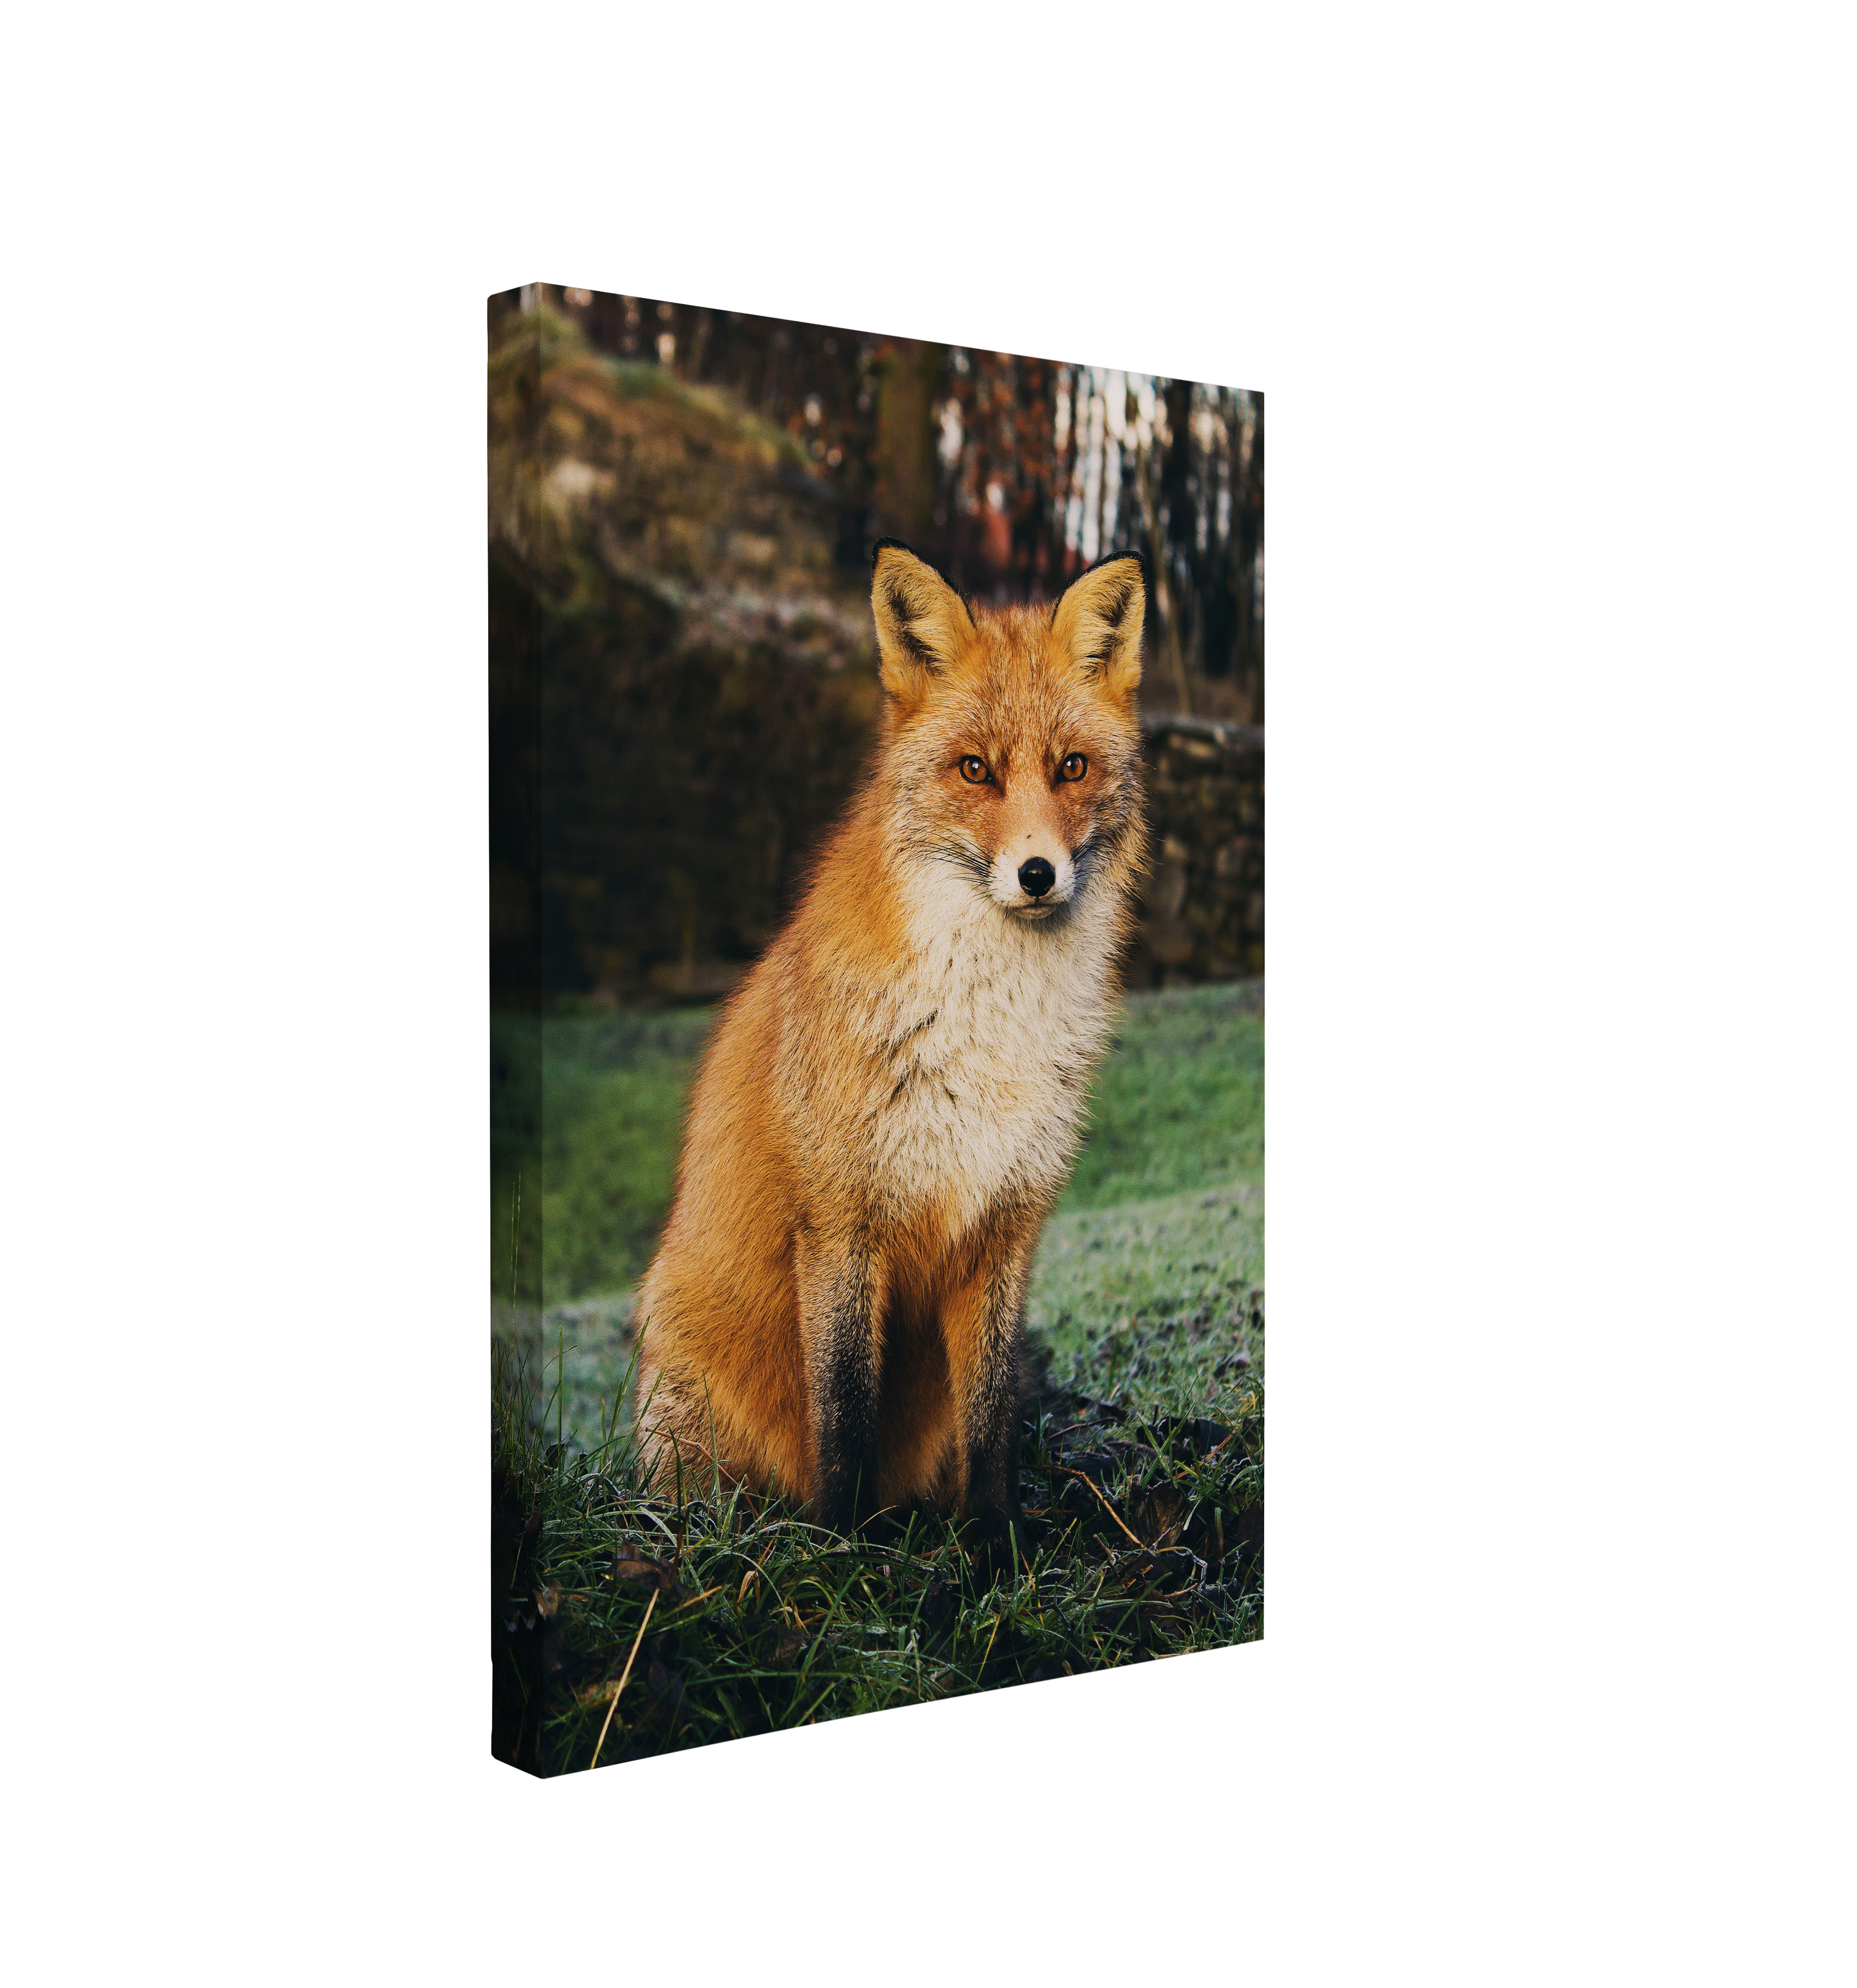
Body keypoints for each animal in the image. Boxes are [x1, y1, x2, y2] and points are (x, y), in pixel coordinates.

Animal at [632, 539, 1148, 1554]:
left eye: (1070, 766)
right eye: (975, 769)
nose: (1038, 873)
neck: (987, 1030)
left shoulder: (1005, 1226)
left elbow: (989, 1418)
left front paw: (994, 1545)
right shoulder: (840, 1224)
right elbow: (843, 1416)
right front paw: (842, 1551)